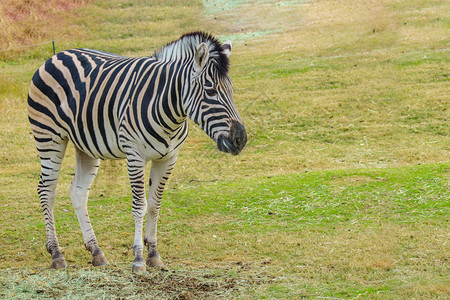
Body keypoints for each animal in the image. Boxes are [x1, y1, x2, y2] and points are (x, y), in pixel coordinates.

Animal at [26, 32, 248, 272]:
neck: (168, 109)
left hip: (86, 145)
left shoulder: (168, 158)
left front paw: (154, 254)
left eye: (231, 90)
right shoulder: (135, 156)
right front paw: (139, 258)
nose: (241, 139)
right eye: (210, 91)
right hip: (49, 137)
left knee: (78, 192)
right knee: (46, 191)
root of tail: (56, 55)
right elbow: (139, 206)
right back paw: (56, 254)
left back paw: (96, 251)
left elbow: (154, 205)